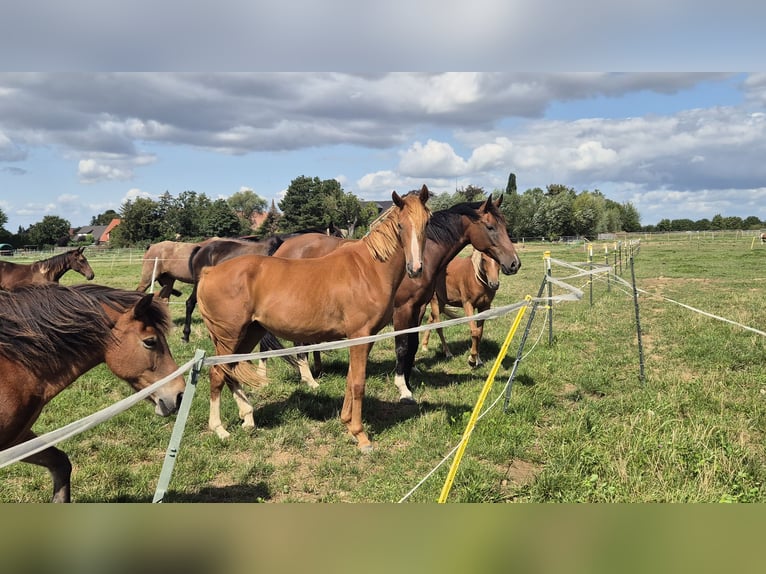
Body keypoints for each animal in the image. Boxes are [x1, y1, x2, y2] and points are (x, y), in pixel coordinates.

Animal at [198, 187, 436, 452]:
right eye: (400, 225)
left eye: (426, 222)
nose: (415, 268)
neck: (369, 269)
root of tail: (209, 272)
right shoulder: (360, 335)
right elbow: (358, 383)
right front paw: (361, 435)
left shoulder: (365, 337)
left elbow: (351, 378)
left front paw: (347, 423)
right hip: (229, 336)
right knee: (217, 374)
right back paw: (220, 429)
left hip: (250, 333)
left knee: (230, 372)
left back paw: (248, 418)